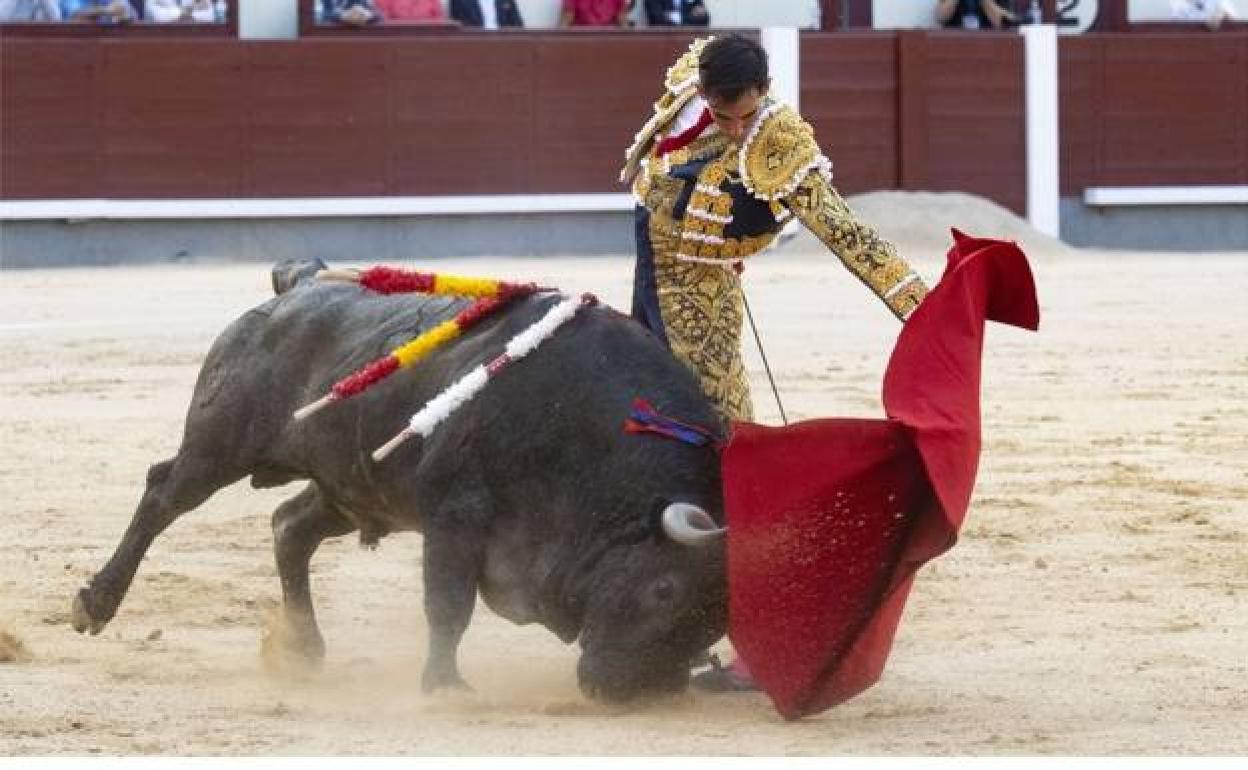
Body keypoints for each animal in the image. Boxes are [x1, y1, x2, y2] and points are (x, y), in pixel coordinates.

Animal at [68, 259, 728, 703]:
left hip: (348, 486)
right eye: (663, 591)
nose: (629, 691)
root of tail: (298, 285)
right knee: (163, 495)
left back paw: (303, 650)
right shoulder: (455, 511)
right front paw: (444, 686)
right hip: (218, 446)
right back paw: (95, 602)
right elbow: (448, 603)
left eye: (713, 625)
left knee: (289, 528)